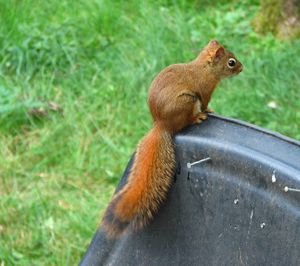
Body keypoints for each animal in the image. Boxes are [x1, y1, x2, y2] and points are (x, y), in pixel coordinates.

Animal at [102, 40, 243, 239]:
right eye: (231, 62)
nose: (241, 68)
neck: (204, 68)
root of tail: (162, 125)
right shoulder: (205, 90)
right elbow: (205, 103)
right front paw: (208, 110)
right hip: (186, 103)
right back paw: (197, 117)